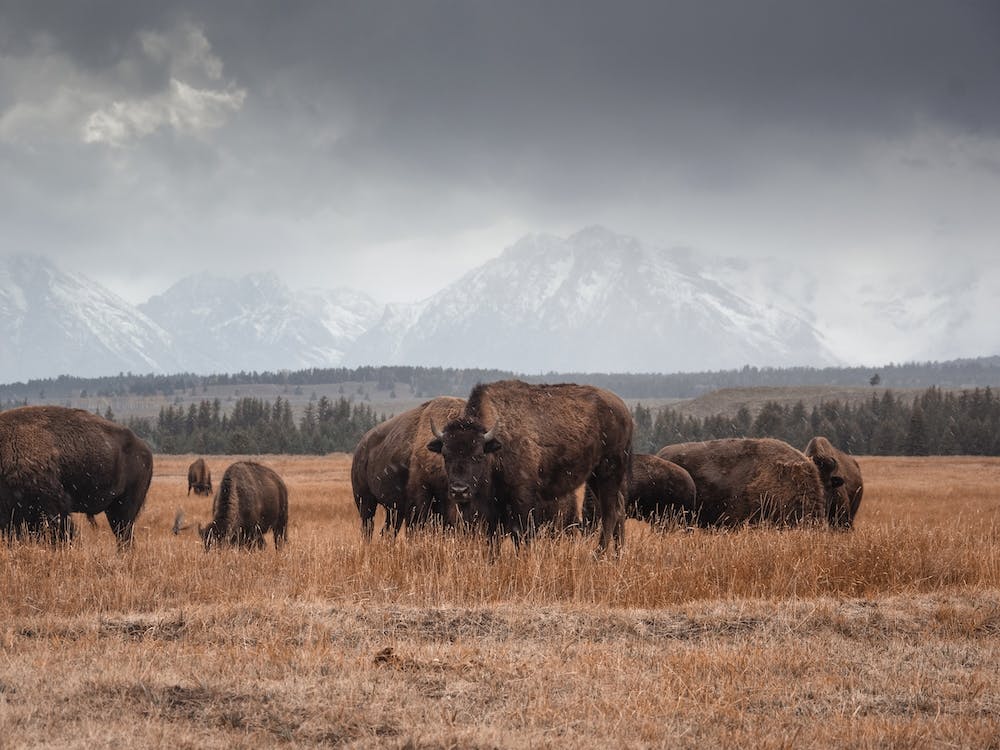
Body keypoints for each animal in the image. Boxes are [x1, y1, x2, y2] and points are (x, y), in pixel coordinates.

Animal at [428, 380, 633, 554]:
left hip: (609, 471)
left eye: (478, 455)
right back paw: (618, 554)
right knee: (619, 507)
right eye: (445, 455)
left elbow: (520, 534)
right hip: (595, 477)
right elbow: (493, 537)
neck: (496, 444)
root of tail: (623, 409)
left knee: (610, 511)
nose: (459, 491)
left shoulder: (522, 497)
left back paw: (598, 554)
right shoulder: (493, 505)